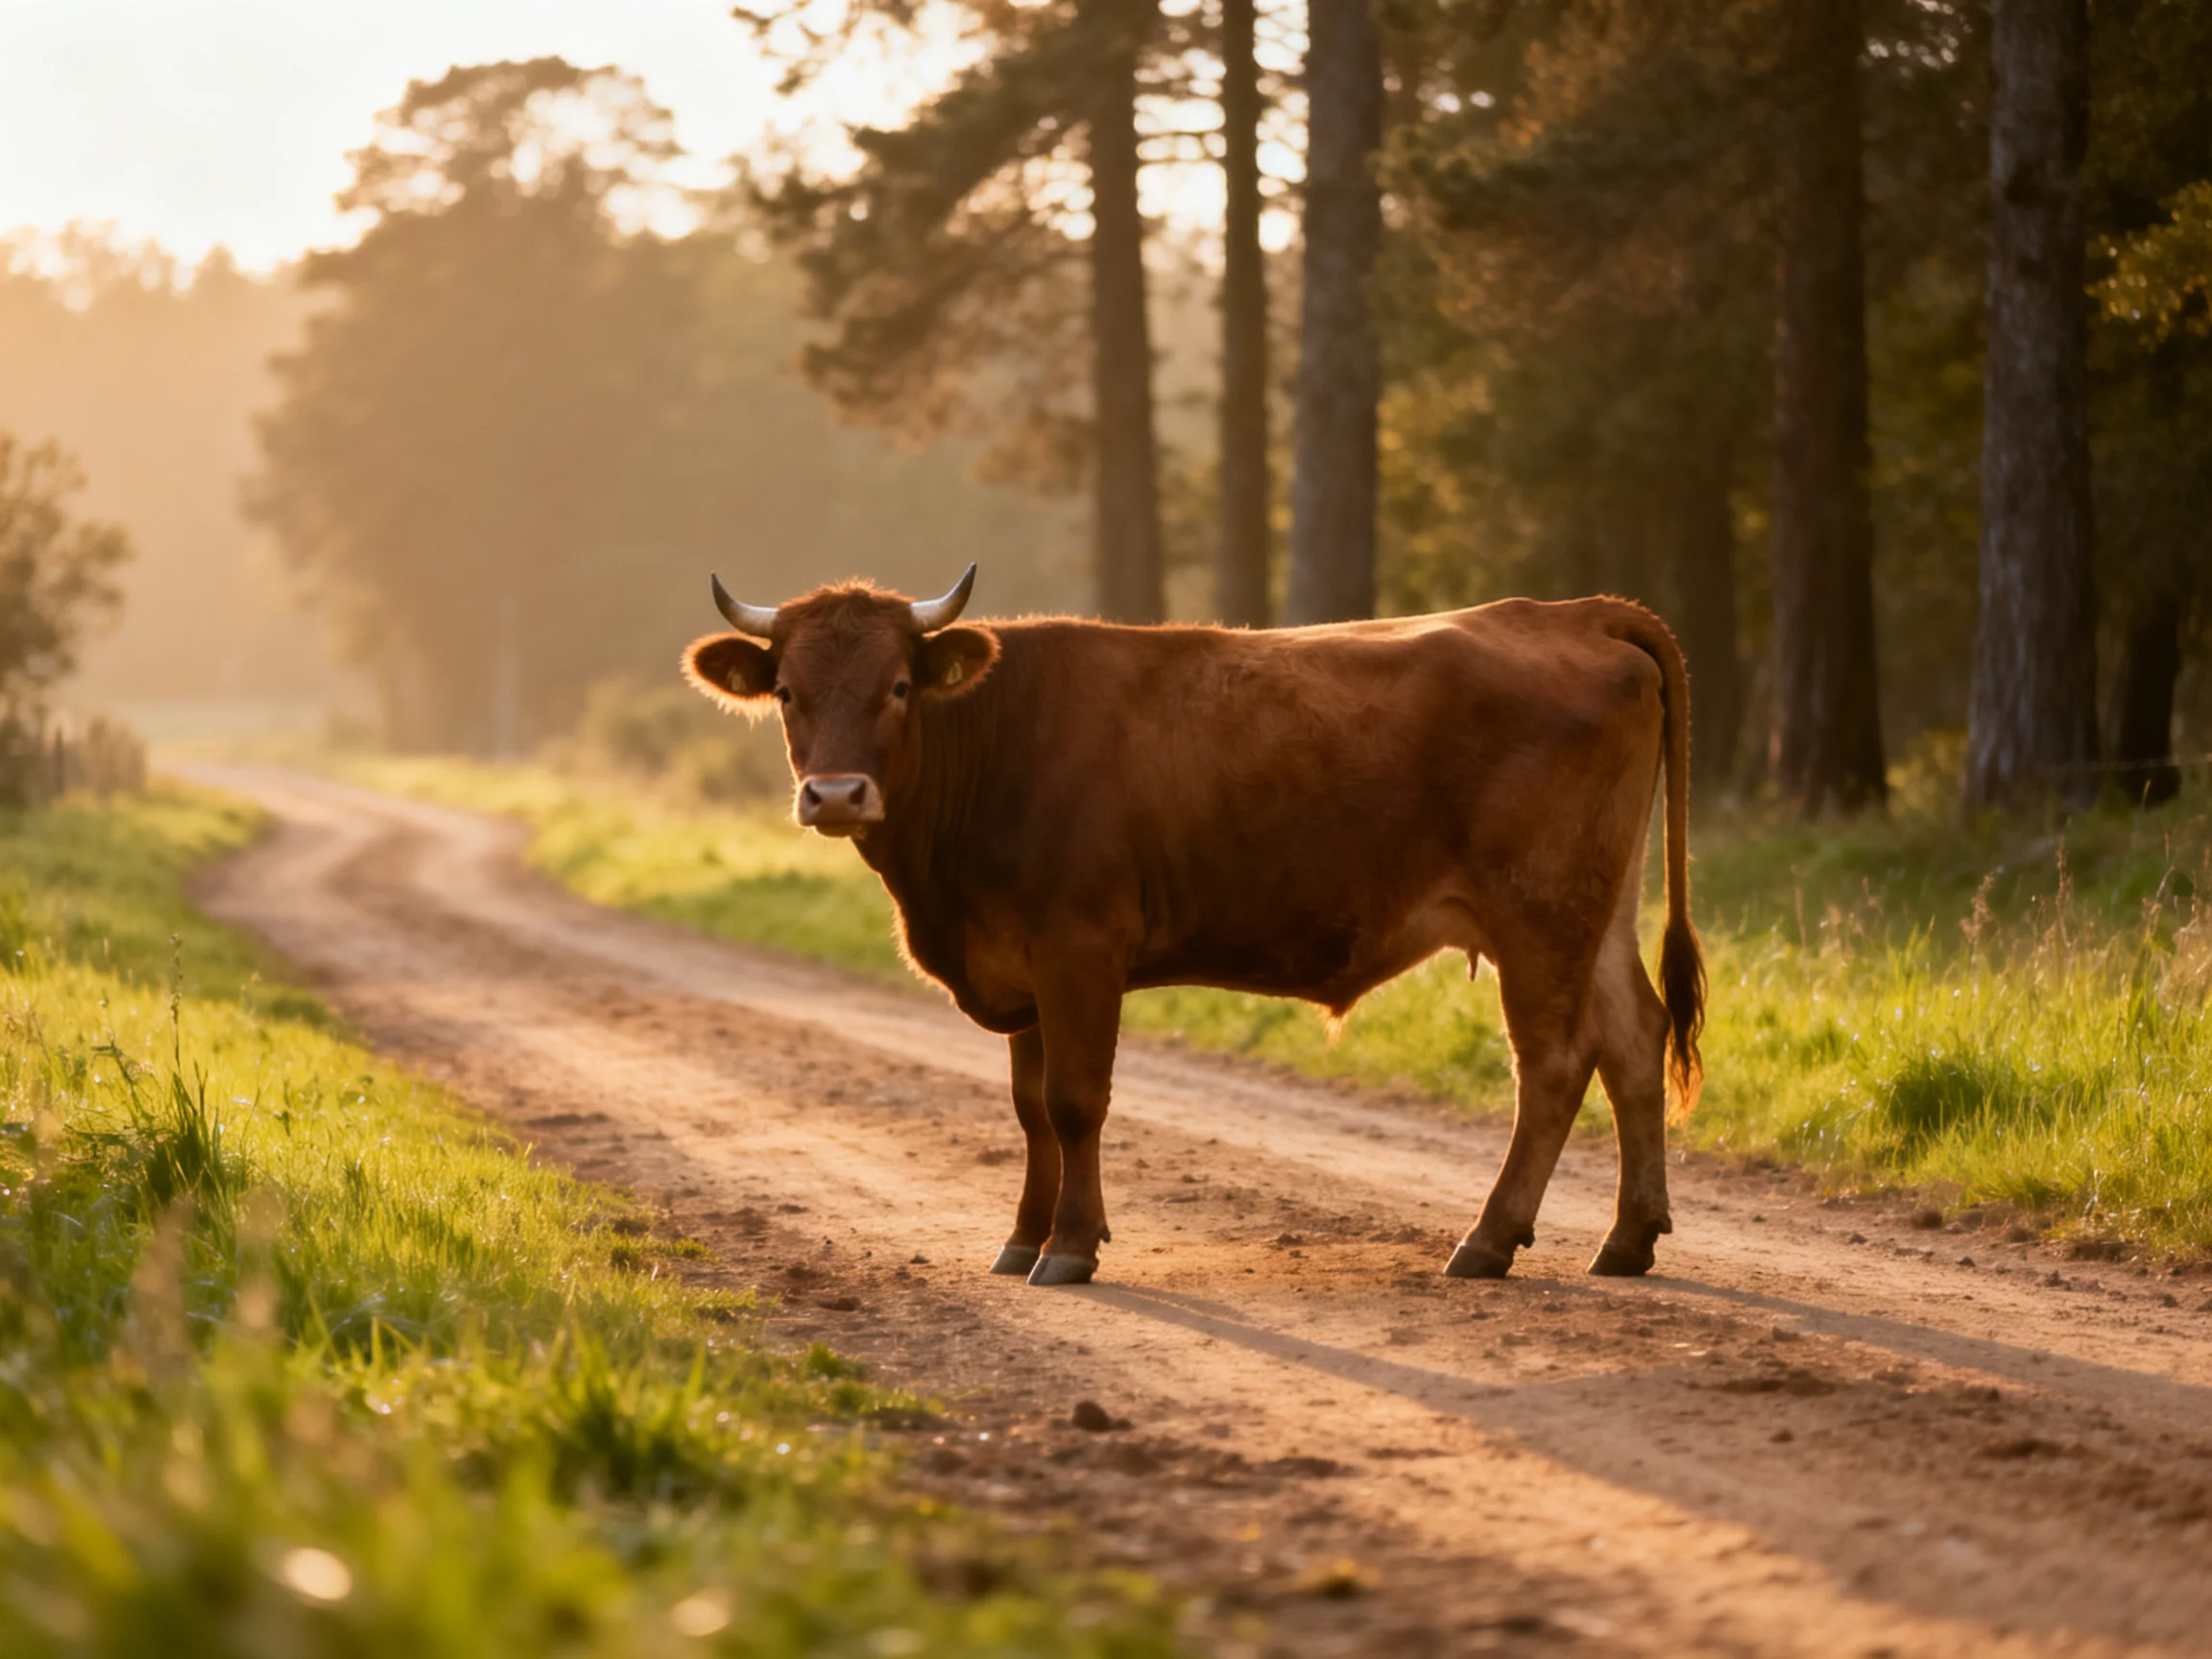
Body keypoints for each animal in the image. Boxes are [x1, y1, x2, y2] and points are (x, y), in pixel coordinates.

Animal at [682, 567, 1703, 1287]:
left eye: (898, 686)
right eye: (787, 693)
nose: (836, 795)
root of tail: (1571, 611)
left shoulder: (1079, 947)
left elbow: (1075, 1101)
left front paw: (1069, 1248)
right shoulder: (1021, 964)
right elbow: (1029, 1109)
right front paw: (1021, 1238)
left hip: (1538, 912)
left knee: (1556, 1063)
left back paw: (1489, 1239)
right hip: (1598, 909)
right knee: (1634, 1038)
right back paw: (1627, 1238)